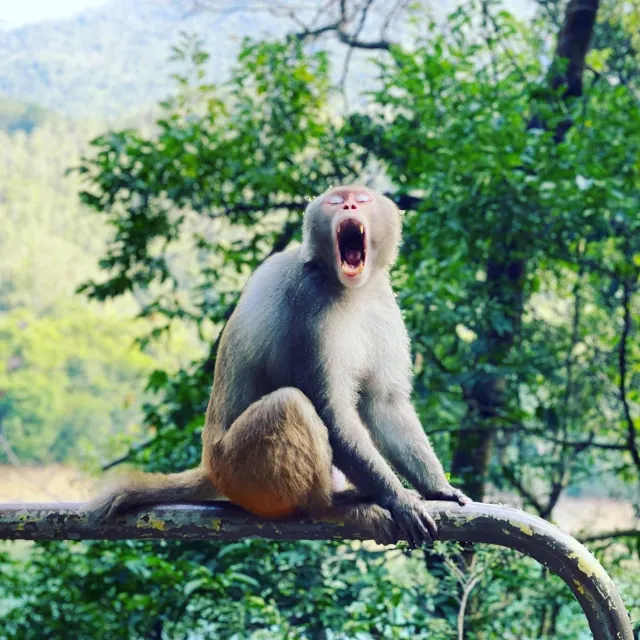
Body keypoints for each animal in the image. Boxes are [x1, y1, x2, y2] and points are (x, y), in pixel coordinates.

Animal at [89, 184, 470, 544]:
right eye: (335, 201)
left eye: (362, 199)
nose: (349, 205)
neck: (349, 288)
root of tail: (209, 465)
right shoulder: (309, 300)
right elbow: (330, 410)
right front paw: (397, 499)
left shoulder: (381, 297)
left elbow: (384, 403)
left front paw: (438, 488)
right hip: (239, 468)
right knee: (290, 404)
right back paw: (331, 506)